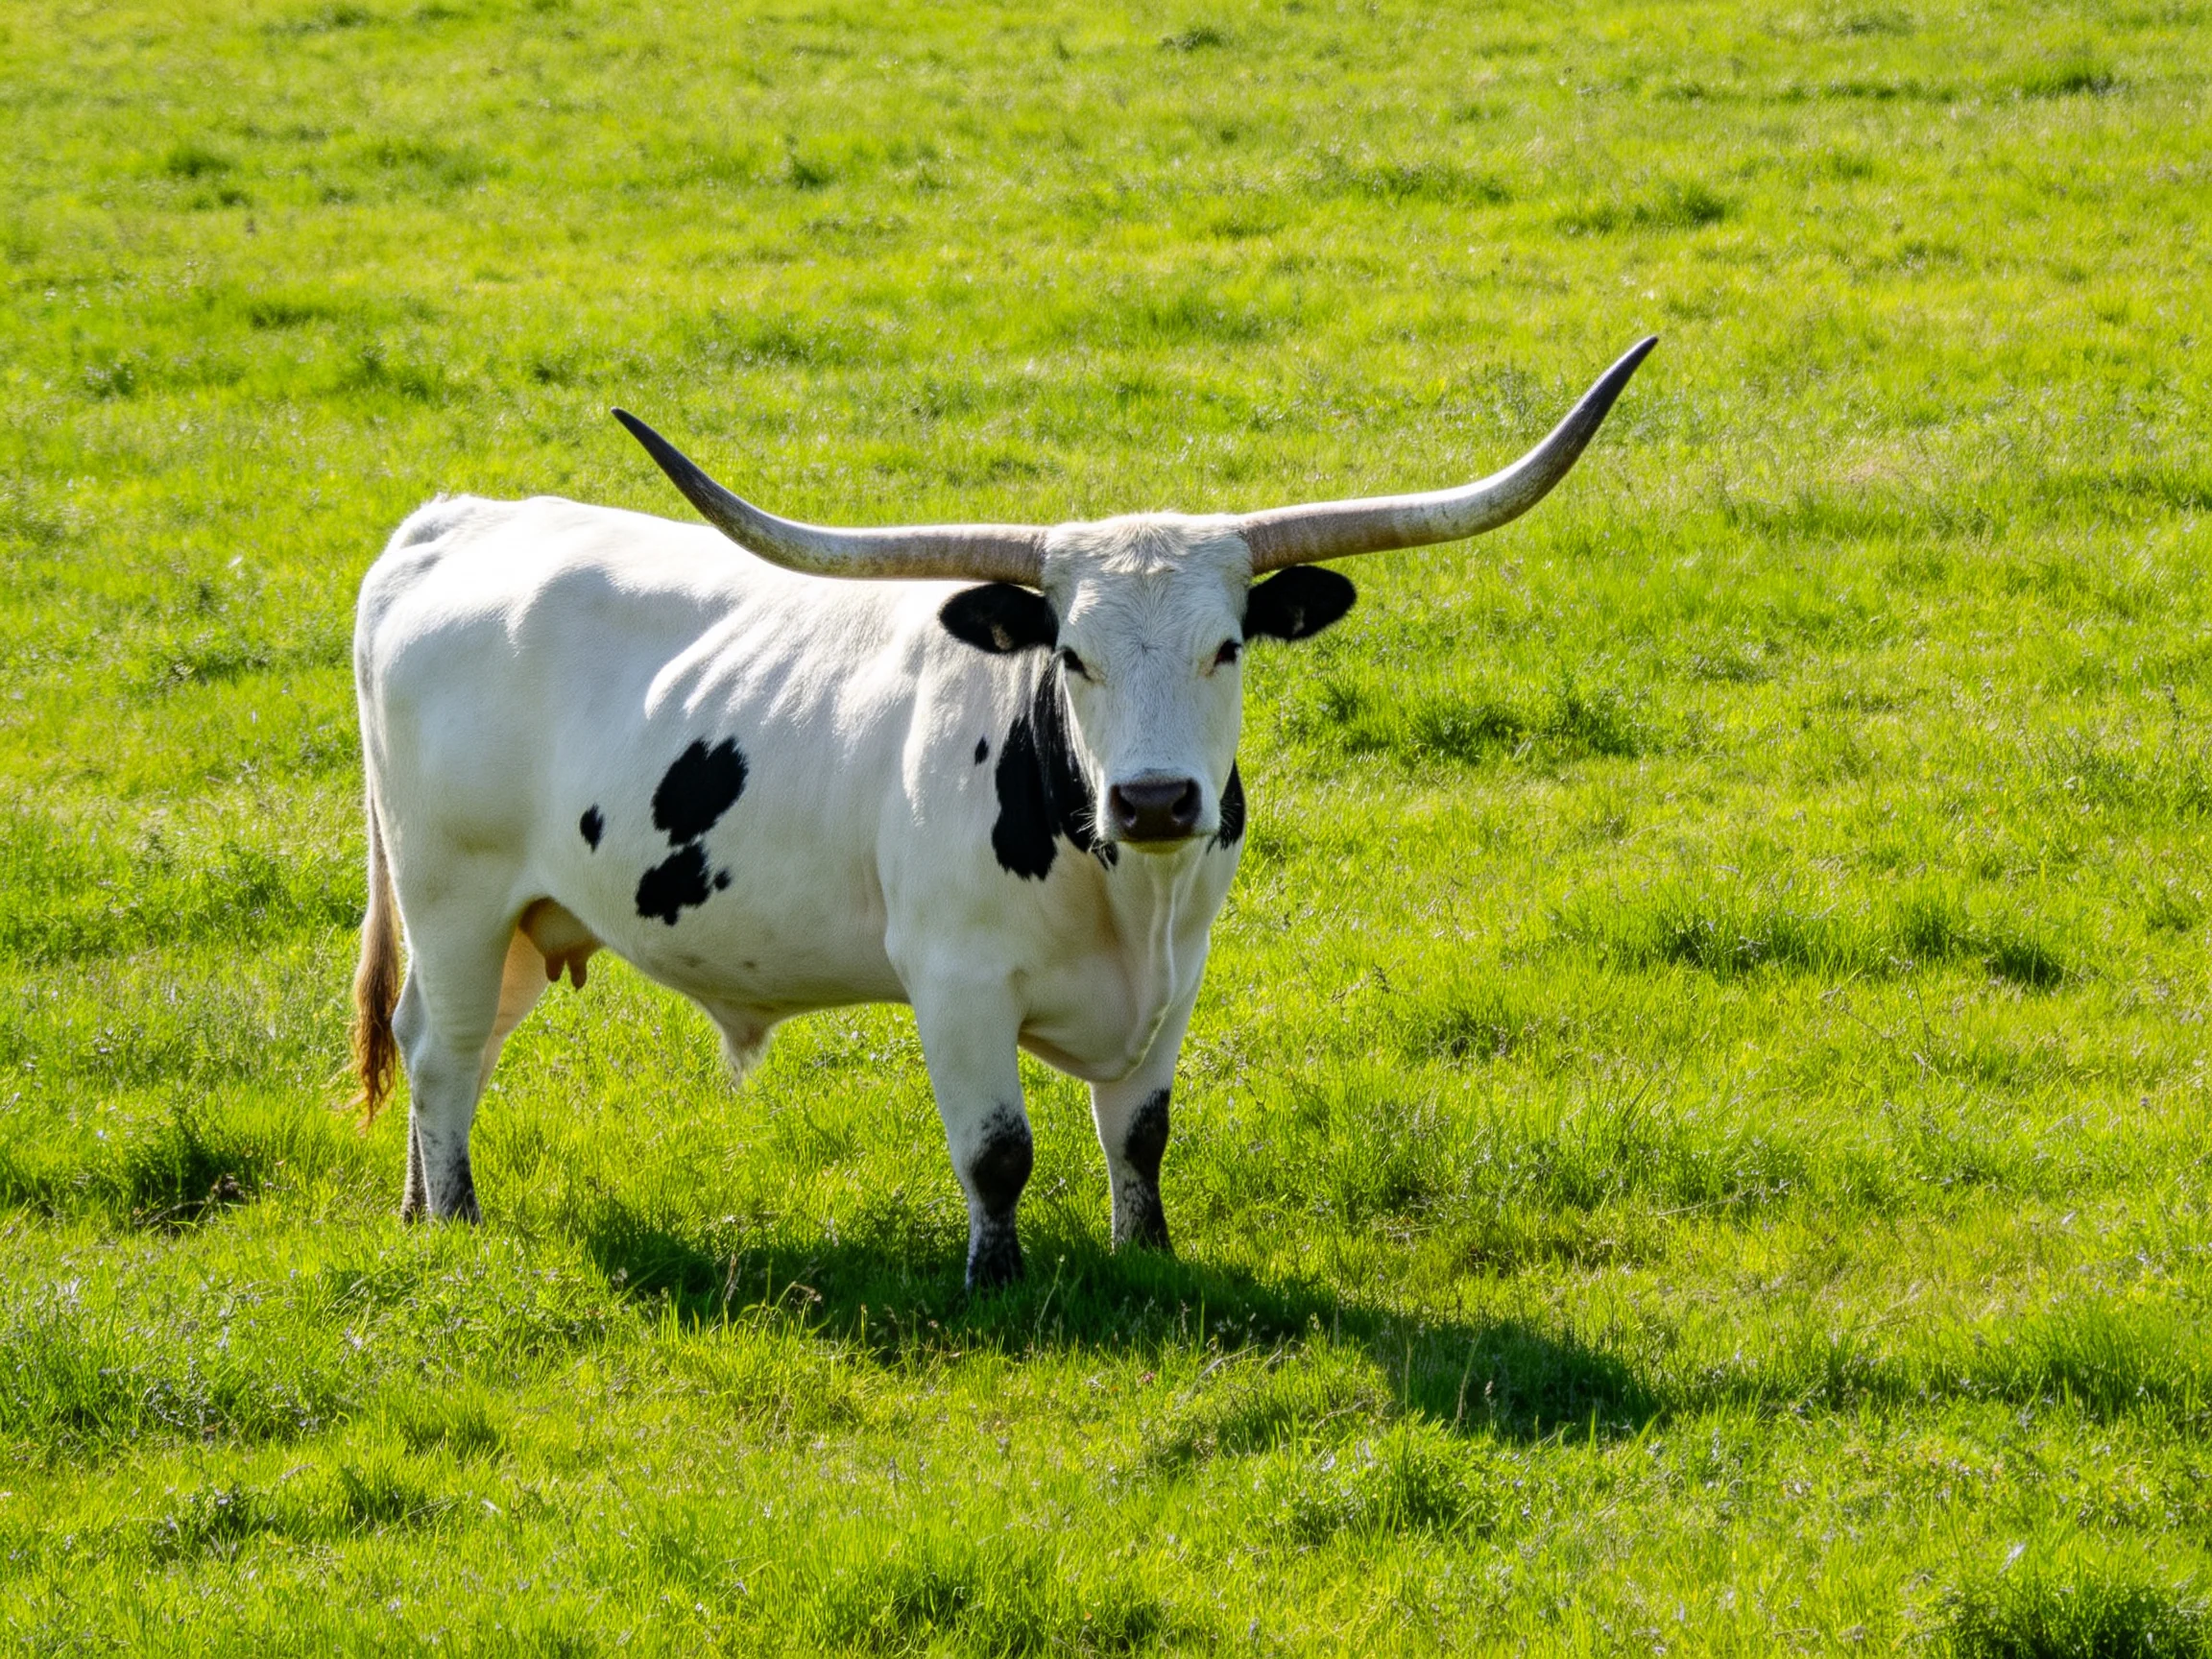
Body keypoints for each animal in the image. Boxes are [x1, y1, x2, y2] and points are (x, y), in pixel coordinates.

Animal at [349, 337, 1655, 1288]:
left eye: (1229, 647)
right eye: (1071, 655)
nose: (1157, 797)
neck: (1126, 895)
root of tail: (452, 524)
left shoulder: (1181, 979)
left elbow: (1140, 1133)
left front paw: (1149, 1257)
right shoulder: (958, 984)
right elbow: (998, 1152)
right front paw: (998, 1279)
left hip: (526, 923)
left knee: (437, 1042)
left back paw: (415, 1210)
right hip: (454, 893)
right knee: (445, 1053)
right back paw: (457, 1221)